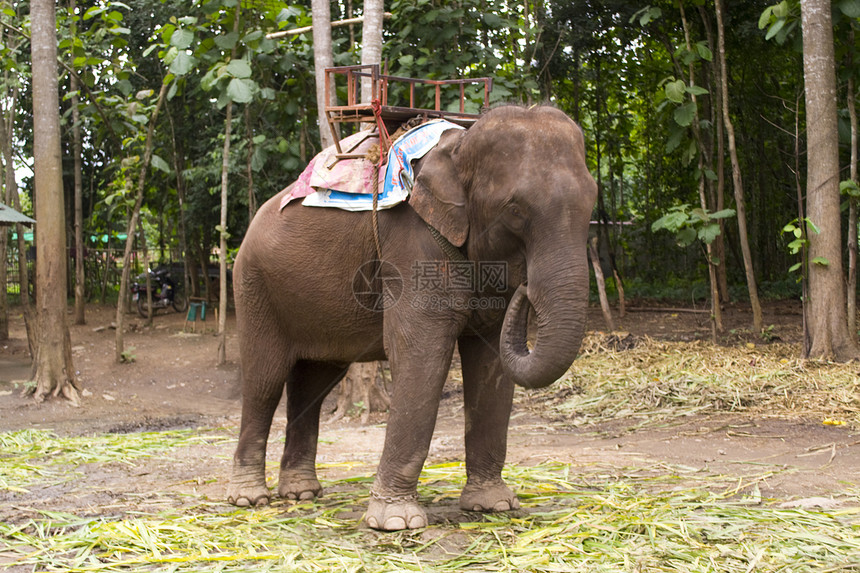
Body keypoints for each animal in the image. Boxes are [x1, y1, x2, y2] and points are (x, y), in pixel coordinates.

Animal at [228, 105, 596, 528]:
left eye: (592, 204)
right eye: (515, 209)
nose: (524, 288)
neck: (458, 146)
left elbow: (490, 361)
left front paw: (494, 506)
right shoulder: (410, 244)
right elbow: (421, 353)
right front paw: (396, 521)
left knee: (315, 383)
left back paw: (302, 493)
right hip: (253, 286)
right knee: (264, 380)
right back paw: (249, 498)